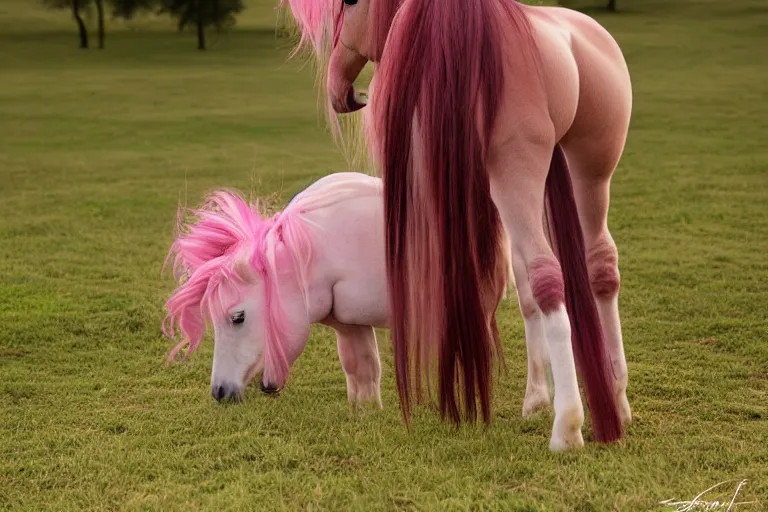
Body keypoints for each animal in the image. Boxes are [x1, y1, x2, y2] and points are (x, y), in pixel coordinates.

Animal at [280, 0, 632, 452]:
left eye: (351, 4)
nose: (340, 87)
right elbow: (516, 287)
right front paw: (533, 397)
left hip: (518, 171)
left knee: (545, 275)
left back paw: (567, 426)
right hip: (585, 169)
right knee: (593, 266)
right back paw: (612, 400)